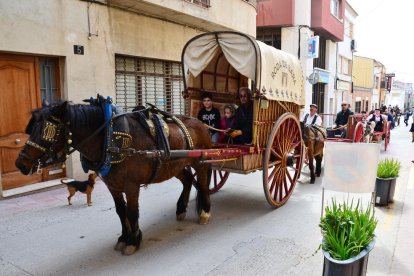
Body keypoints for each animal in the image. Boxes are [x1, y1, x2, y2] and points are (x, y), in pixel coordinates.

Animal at [14, 101, 212, 254]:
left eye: (46, 131)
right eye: (32, 128)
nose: (20, 164)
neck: (111, 140)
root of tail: (200, 123)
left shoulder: (132, 186)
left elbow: (132, 212)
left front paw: (134, 241)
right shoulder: (113, 186)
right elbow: (120, 211)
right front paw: (124, 237)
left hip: (200, 161)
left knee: (202, 183)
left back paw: (205, 212)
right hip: (176, 165)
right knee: (188, 180)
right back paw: (181, 209)